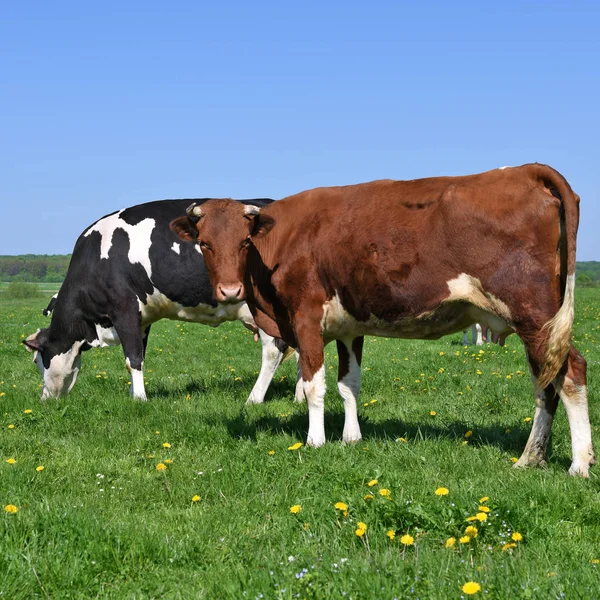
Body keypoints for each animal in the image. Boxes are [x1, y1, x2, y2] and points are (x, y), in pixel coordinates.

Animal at [24, 198, 292, 404]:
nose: (45, 399)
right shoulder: (142, 319)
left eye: (39, 360)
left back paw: (254, 399)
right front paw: (134, 394)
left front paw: (139, 400)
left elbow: (132, 359)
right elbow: (139, 355)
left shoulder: (124, 309)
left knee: (273, 351)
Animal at [171, 164, 592, 478]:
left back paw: (577, 464)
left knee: (570, 373)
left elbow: (314, 385)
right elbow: (348, 385)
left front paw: (315, 441)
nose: (229, 291)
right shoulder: (348, 327)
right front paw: (351, 438)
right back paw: (532, 458)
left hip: (534, 315)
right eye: (204, 243)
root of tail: (525, 170)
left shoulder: (305, 318)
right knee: (546, 383)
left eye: (244, 242)